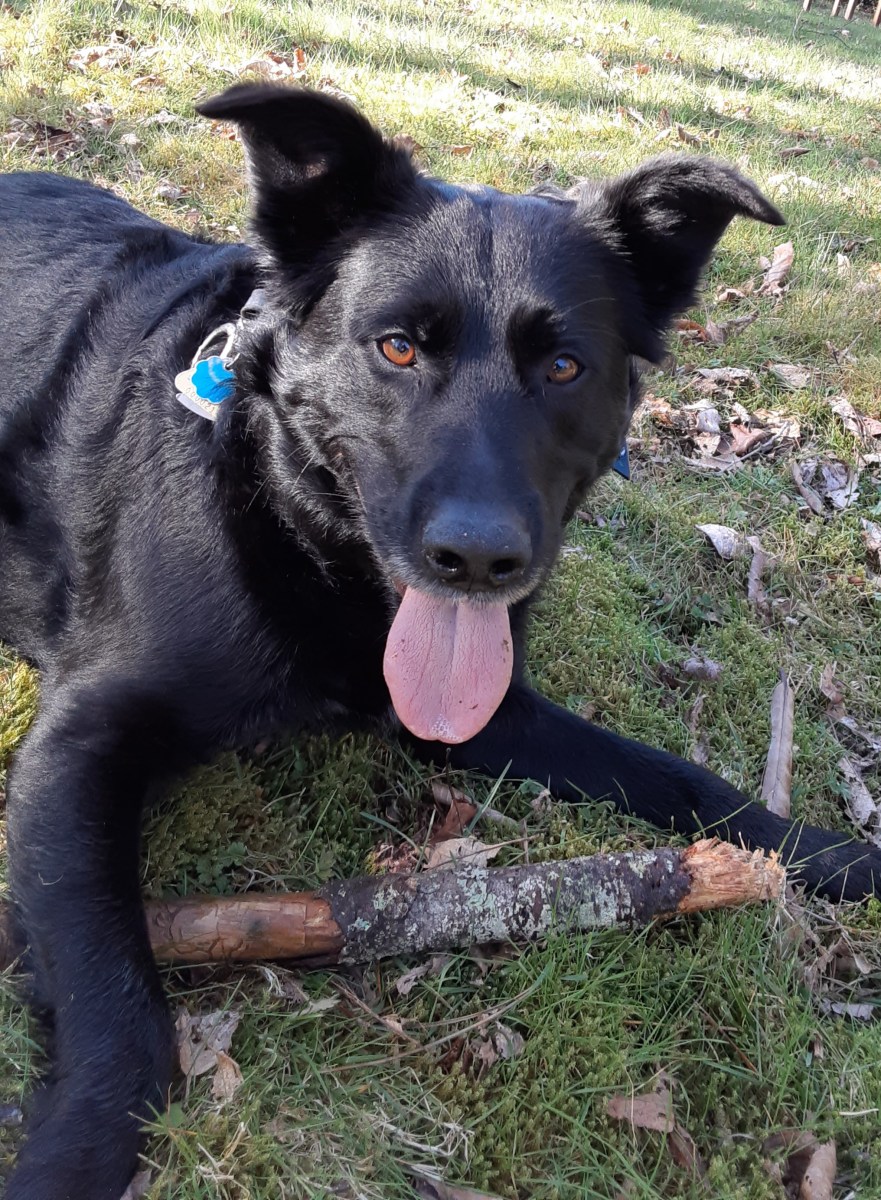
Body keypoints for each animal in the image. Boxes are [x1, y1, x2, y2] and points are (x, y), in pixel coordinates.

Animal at [1, 83, 878, 1199]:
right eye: (397, 348)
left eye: (563, 366)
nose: (476, 559)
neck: (289, 519)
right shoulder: (78, 747)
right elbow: (121, 1008)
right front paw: (70, 1156)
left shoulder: (485, 713)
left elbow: (683, 783)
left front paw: (827, 854)